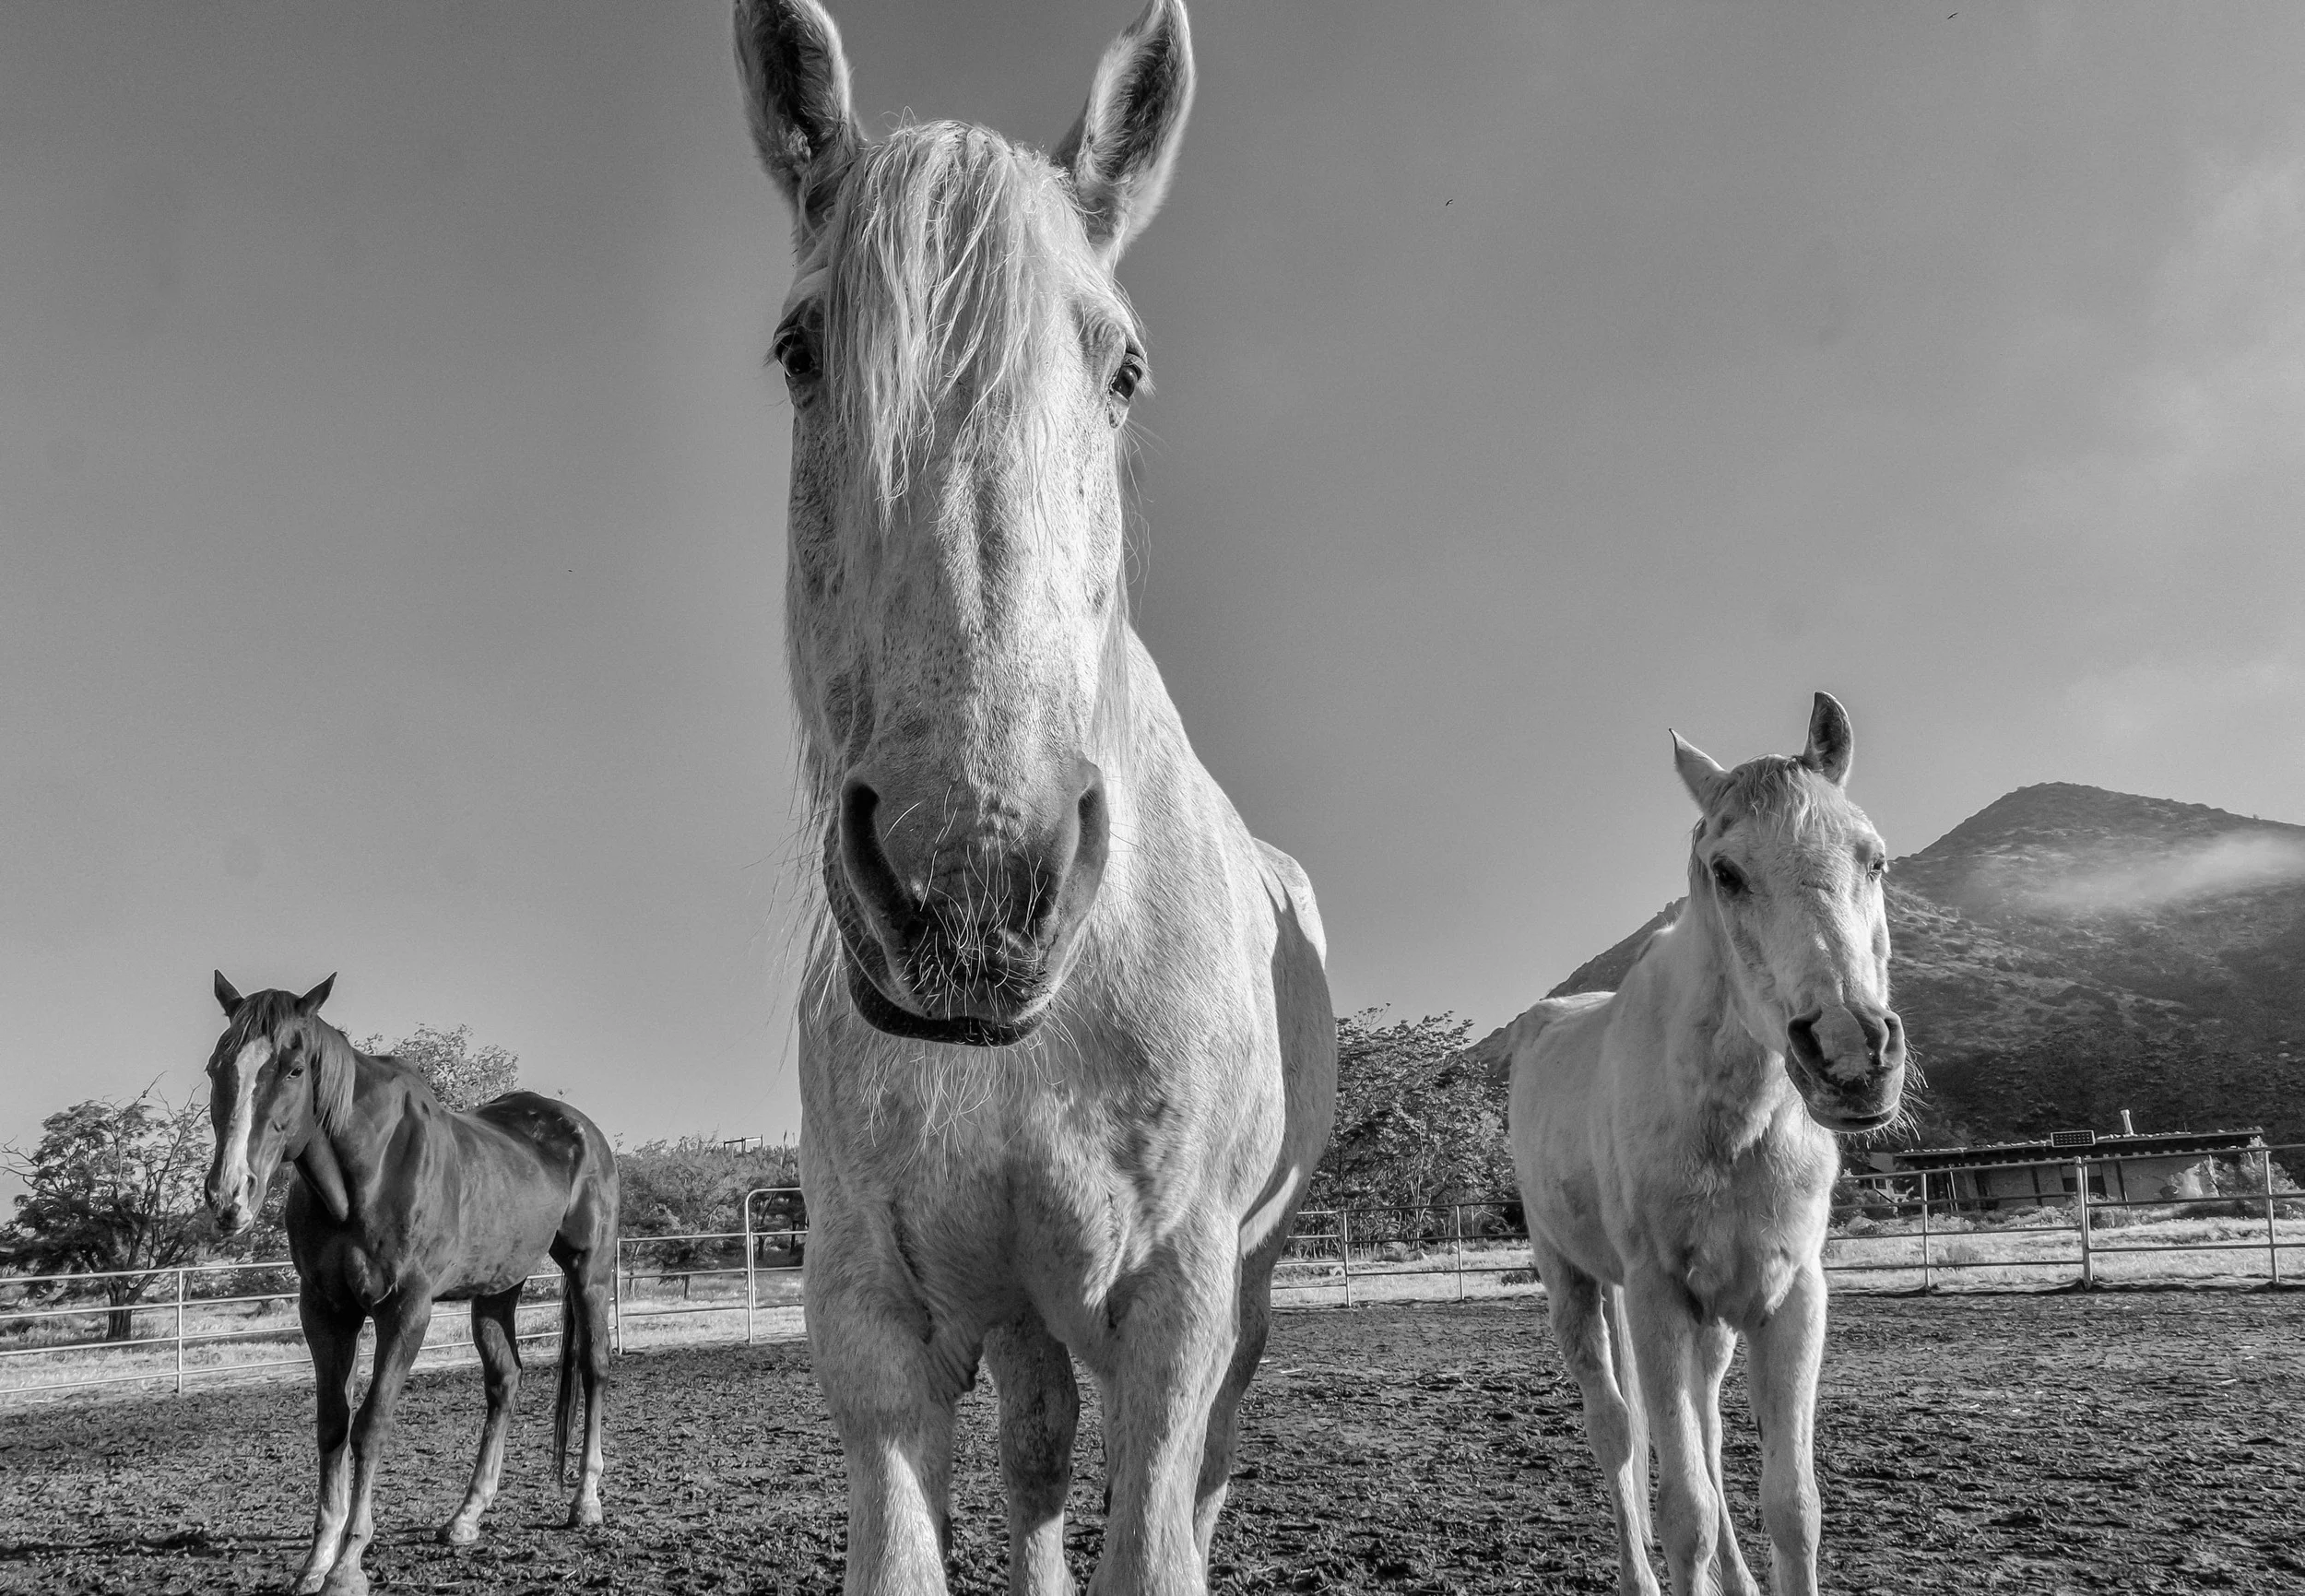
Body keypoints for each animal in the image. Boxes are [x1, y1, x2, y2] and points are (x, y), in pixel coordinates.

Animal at [202, 974, 619, 1596]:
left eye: (295, 1069)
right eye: (215, 1067)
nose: (229, 1195)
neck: (367, 1173)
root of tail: (578, 1129)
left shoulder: (406, 1309)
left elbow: (371, 1425)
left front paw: (349, 1562)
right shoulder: (324, 1311)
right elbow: (332, 1424)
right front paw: (316, 1560)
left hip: (589, 1271)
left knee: (593, 1368)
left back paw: (585, 1501)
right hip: (497, 1290)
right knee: (505, 1382)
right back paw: (467, 1516)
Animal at [731, 2, 1337, 1590]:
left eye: (1123, 369)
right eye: (800, 350)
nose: (970, 887)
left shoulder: (1179, 1305)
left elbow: (1161, 1529)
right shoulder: (876, 1318)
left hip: (1242, 1283)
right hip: (1015, 1309)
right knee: (1040, 1447)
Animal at [1471, 693, 1906, 1596]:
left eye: (1874, 858)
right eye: (1726, 872)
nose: (1851, 1052)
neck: (1735, 1124)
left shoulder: (1792, 1296)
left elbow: (1793, 1505)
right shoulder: (1657, 1298)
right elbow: (1685, 1512)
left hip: (1713, 1320)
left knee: (1702, 1425)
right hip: (1575, 1283)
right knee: (1616, 1430)